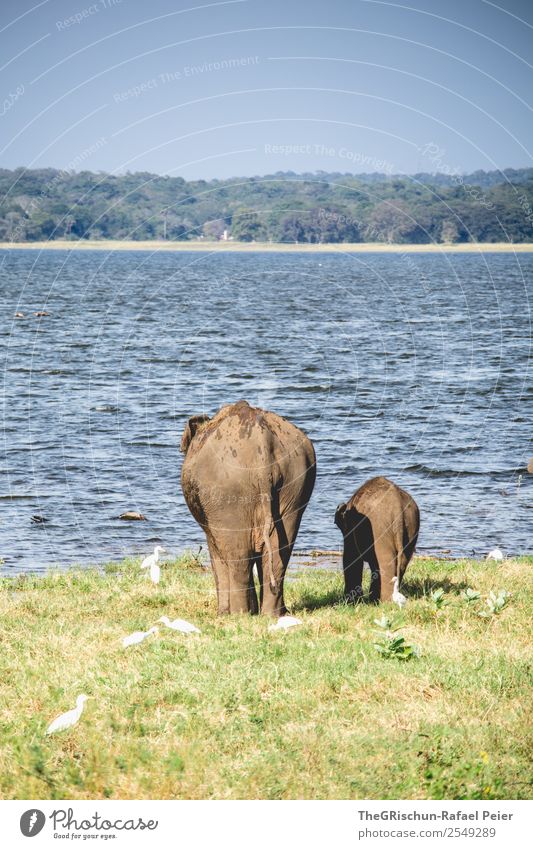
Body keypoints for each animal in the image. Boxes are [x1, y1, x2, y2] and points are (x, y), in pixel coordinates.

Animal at [181, 400, 318, 612]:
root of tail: (262, 445)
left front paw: (223, 613)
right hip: (296, 482)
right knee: (279, 552)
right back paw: (272, 614)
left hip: (228, 492)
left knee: (238, 556)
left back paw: (238, 614)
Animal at [332, 476, 420, 604]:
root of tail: (397, 505)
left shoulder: (351, 531)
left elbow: (351, 558)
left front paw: (350, 601)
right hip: (411, 525)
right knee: (403, 560)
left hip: (379, 528)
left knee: (385, 560)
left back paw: (385, 601)